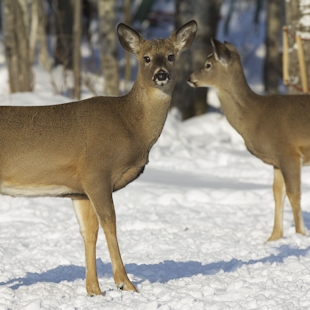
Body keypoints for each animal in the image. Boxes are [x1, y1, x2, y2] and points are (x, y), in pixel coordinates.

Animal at [0, 20, 197, 294]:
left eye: (171, 56)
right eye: (145, 57)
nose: (161, 74)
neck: (131, 125)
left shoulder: (79, 190)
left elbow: (89, 231)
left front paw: (94, 290)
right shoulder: (96, 172)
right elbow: (109, 224)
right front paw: (126, 284)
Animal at [186, 38, 310, 242]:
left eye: (208, 64)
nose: (190, 77)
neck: (255, 116)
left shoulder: (288, 152)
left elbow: (294, 194)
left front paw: (300, 235)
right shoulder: (276, 161)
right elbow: (277, 194)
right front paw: (273, 238)